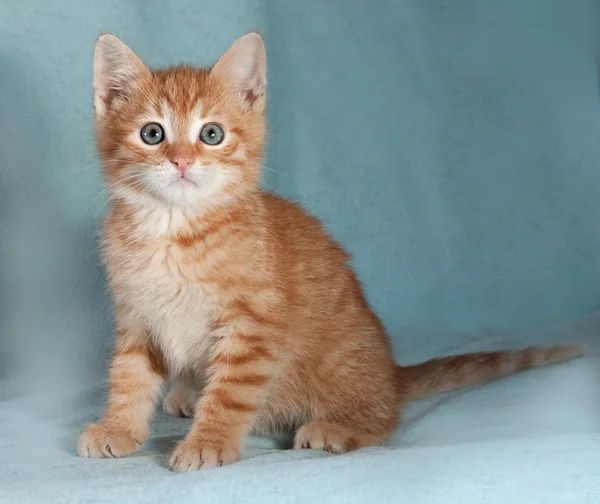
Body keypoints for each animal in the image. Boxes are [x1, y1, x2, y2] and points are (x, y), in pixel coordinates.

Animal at [77, 32, 580, 472]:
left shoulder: (252, 326)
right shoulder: (137, 317)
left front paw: (209, 442)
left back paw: (340, 428)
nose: (181, 161)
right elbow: (129, 377)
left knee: (385, 420)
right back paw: (185, 394)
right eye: (153, 134)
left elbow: (231, 393)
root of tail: (391, 374)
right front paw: (119, 427)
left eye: (212, 134)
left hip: (342, 369)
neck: (173, 229)